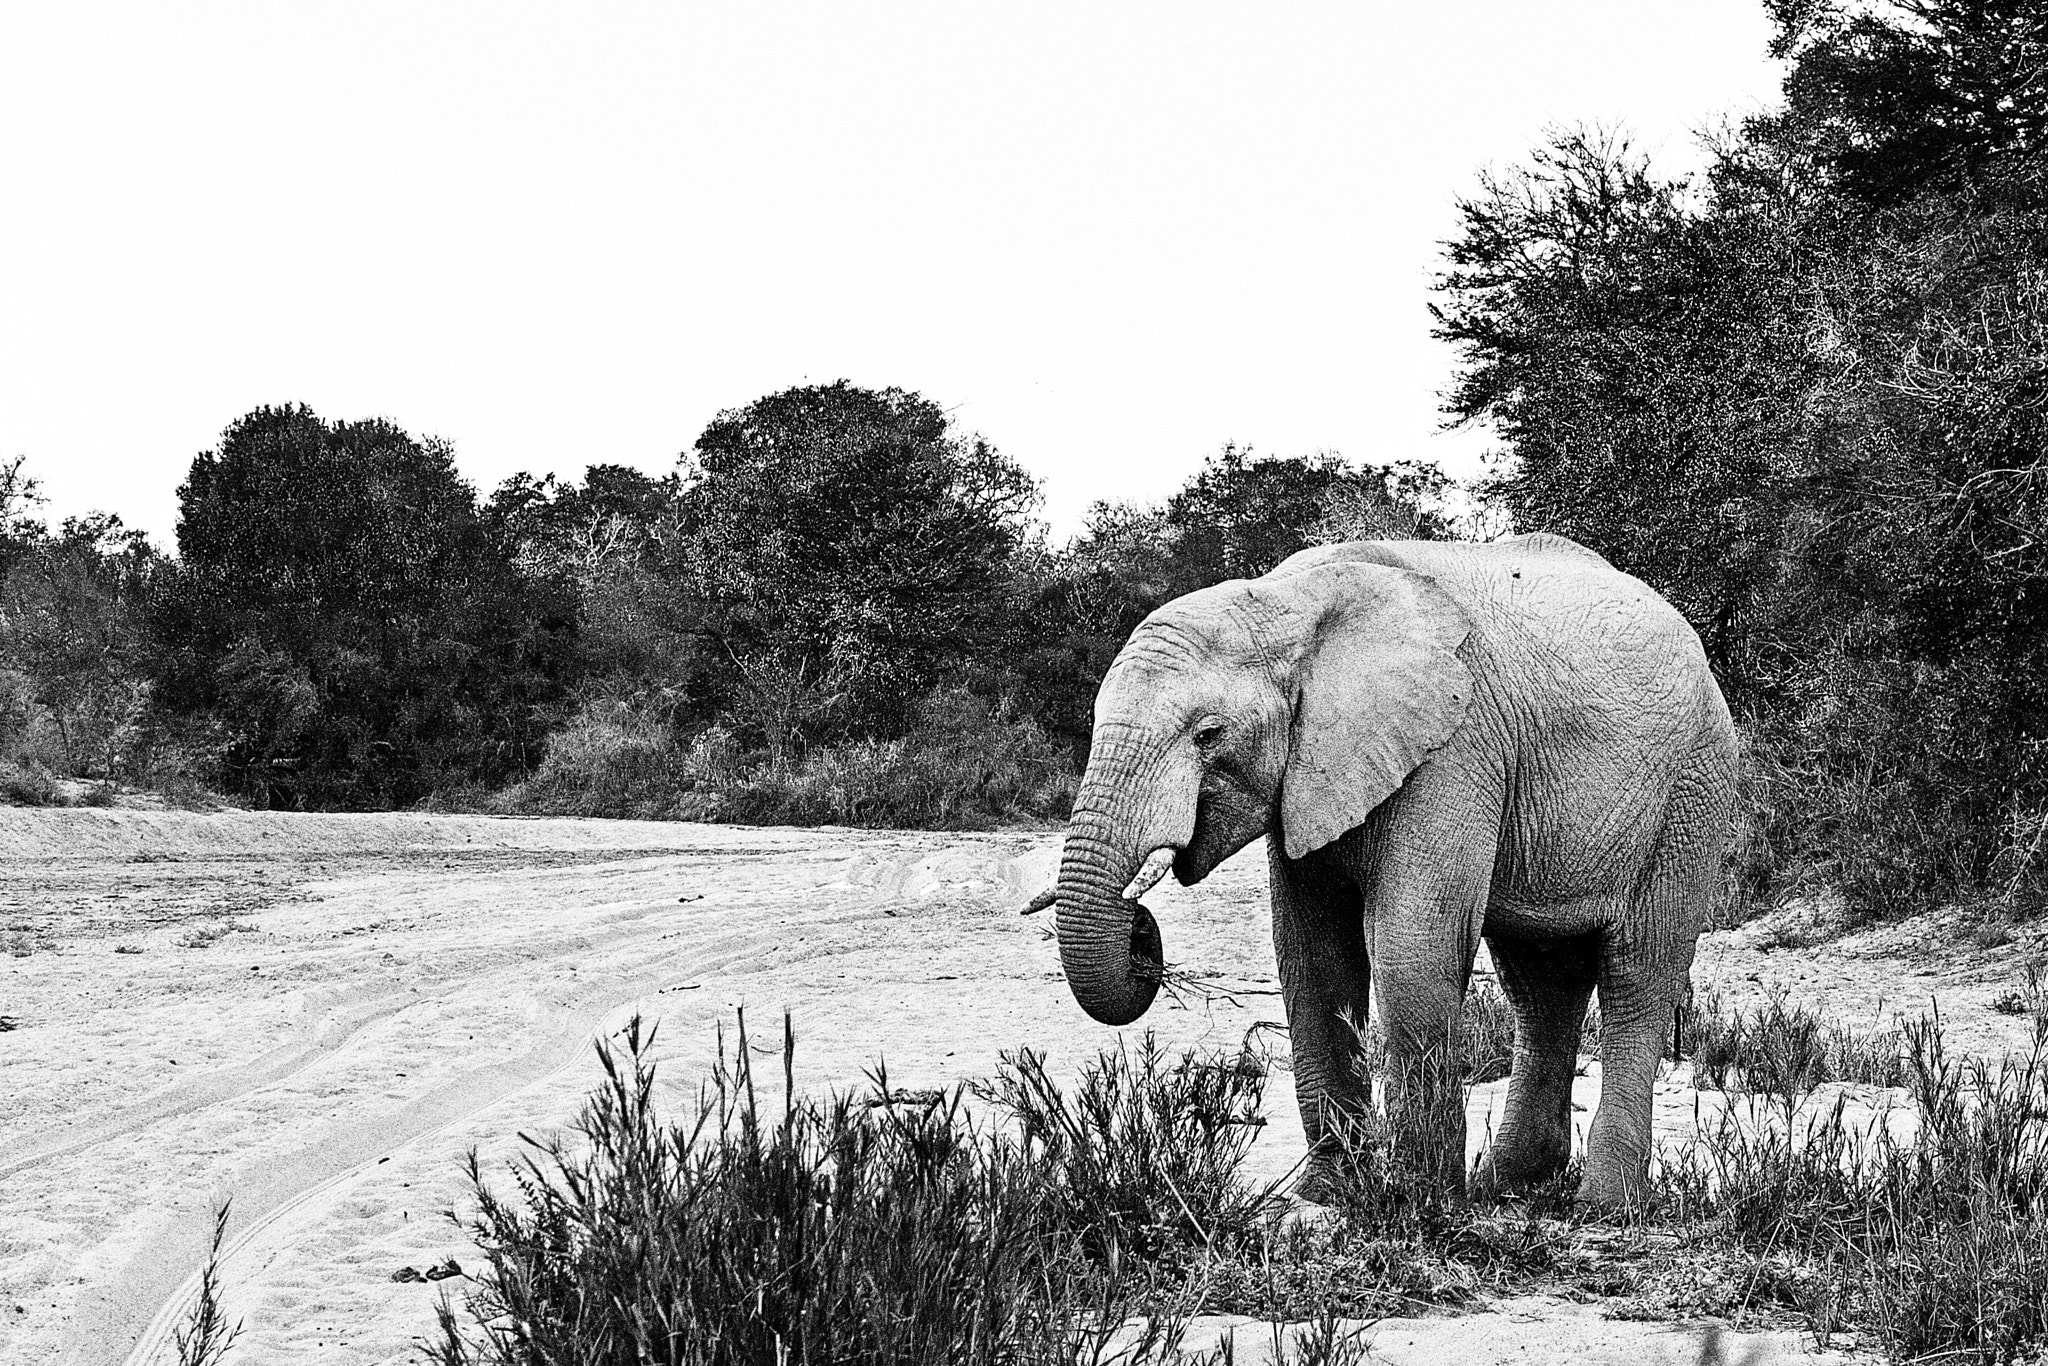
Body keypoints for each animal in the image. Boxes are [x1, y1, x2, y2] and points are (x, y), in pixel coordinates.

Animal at [1043, 534, 1737, 1209]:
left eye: (1208, 735)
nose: (1140, 932)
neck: (1287, 602)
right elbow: (1314, 959)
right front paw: (1328, 1195)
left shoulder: (1454, 748)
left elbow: (1412, 950)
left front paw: (1419, 1201)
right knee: (1540, 980)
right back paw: (1509, 1185)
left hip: (1690, 795)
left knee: (1638, 973)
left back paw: (1603, 1206)